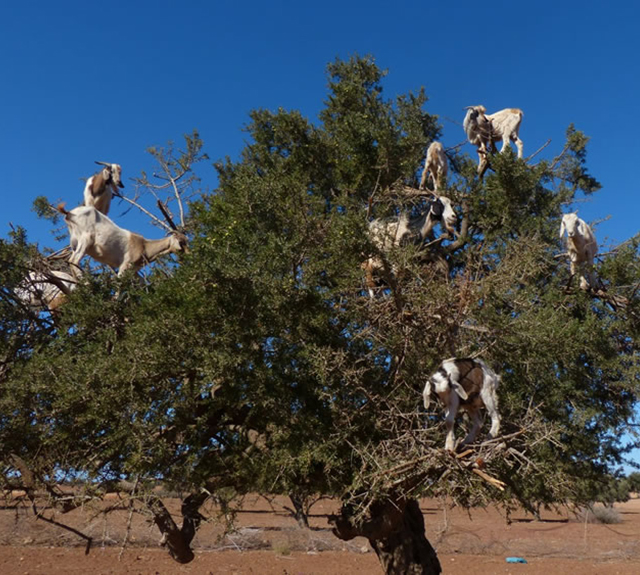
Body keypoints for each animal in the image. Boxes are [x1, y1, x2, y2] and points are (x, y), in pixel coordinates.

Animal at [57, 205, 189, 280]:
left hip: (75, 244)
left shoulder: (133, 271)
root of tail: (70, 213)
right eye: (181, 242)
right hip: (86, 240)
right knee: (73, 260)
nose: (189, 254)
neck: (144, 245)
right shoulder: (124, 266)